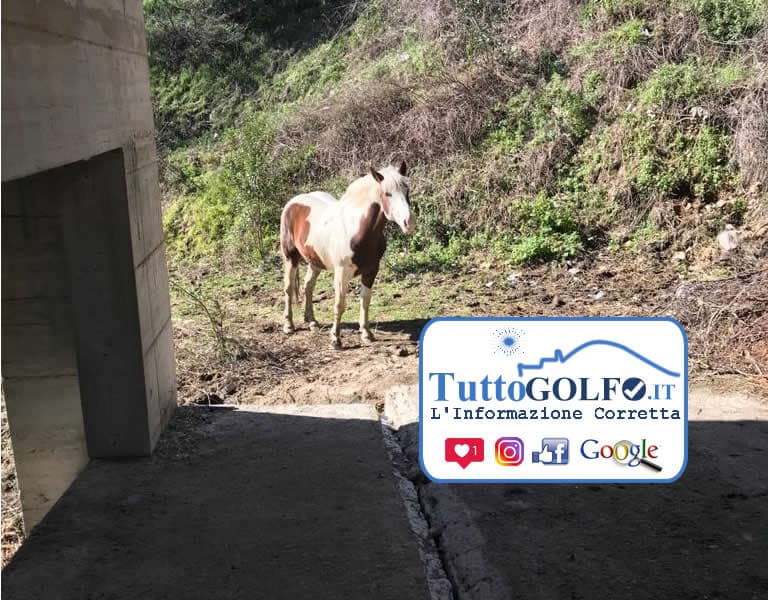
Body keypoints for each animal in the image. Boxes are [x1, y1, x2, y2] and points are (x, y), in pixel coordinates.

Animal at [279, 161, 415, 349]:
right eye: (387, 193)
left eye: (406, 190)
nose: (409, 223)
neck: (357, 229)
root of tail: (293, 203)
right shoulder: (342, 272)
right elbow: (339, 304)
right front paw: (335, 339)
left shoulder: (371, 270)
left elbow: (365, 300)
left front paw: (366, 334)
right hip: (290, 257)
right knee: (289, 287)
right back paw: (288, 325)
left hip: (315, 261)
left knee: (308, 287)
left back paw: (312, 322)